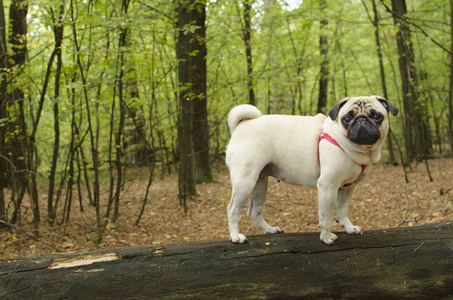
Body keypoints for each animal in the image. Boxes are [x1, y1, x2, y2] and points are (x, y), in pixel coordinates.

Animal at [225, 95, 396, 245]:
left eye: (377, 116)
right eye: (346, 119)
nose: (361, 120)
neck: (357, 150)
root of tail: (241, 125)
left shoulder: (347, 188)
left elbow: (342, 211)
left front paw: (348, 228)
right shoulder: (328, 186)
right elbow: (327, 217)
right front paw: (326, 238)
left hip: (259, 183)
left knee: (254, 212)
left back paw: (270, 230)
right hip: (245, 181)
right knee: (232, 209)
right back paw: (236, 236)